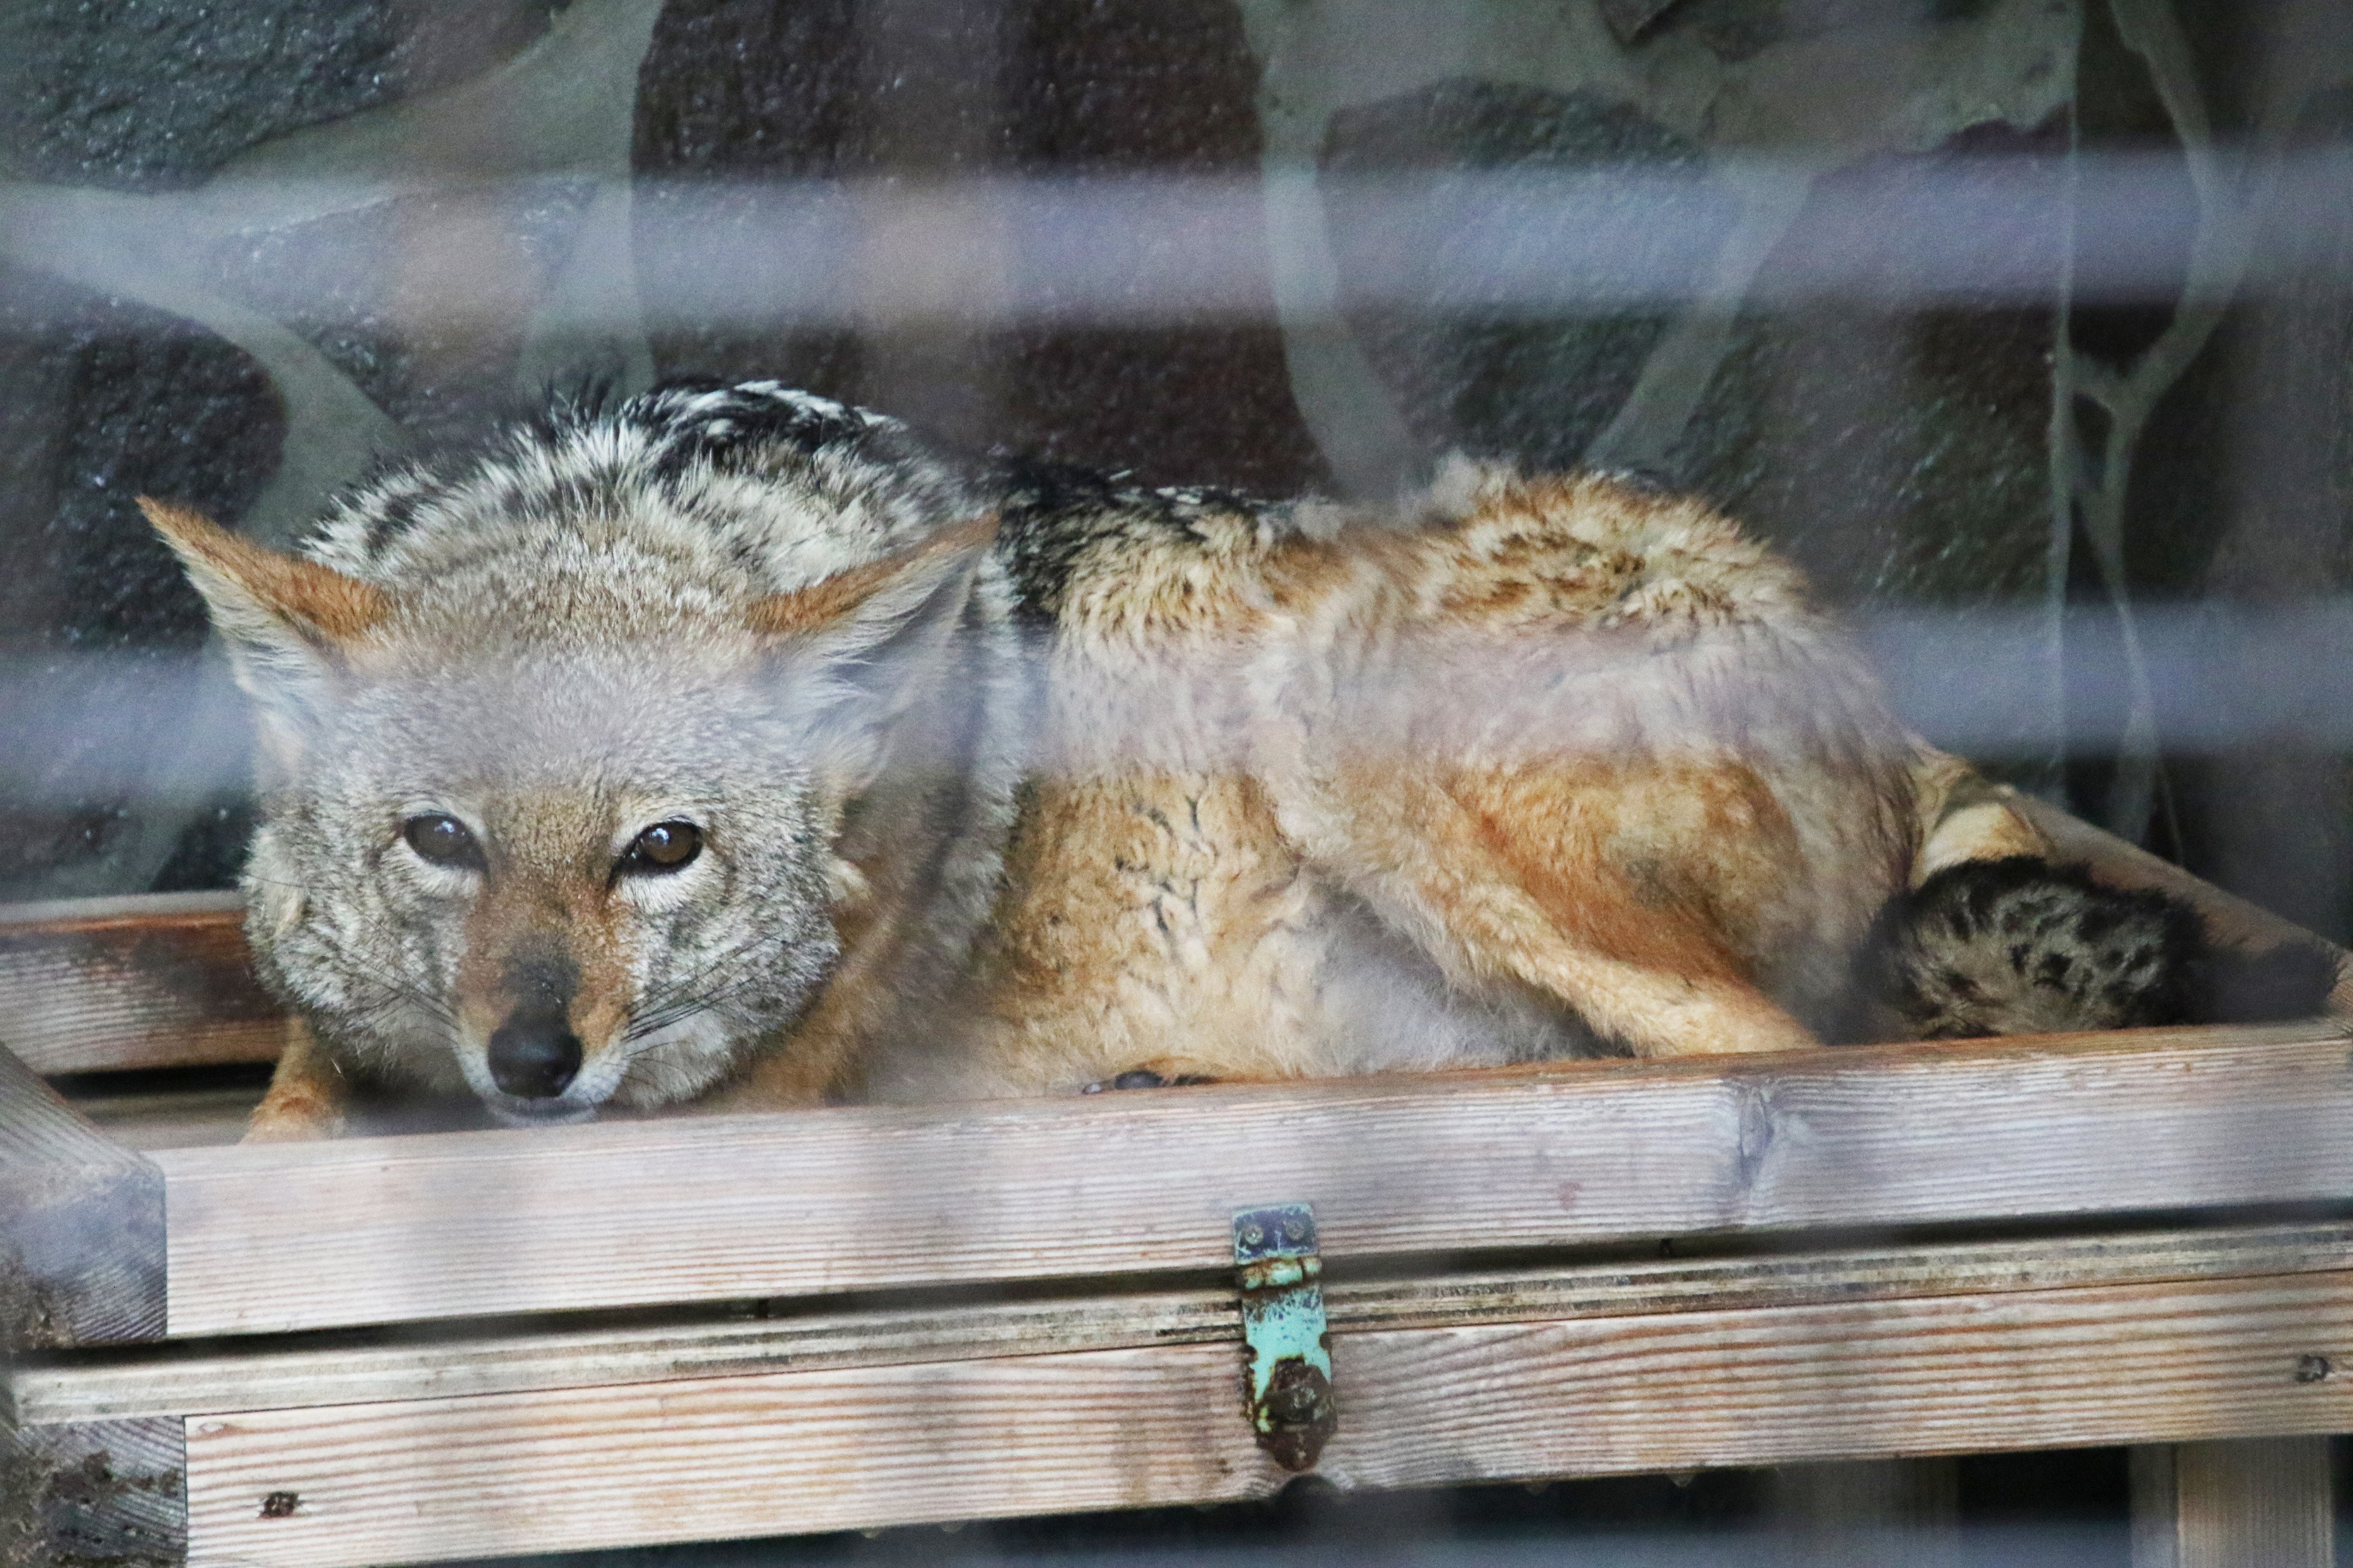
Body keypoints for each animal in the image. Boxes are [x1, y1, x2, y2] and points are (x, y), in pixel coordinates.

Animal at [142, 381, 2315, 1142]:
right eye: (439, 839)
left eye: (659, 852)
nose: (533, 1058)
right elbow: (283, 1125)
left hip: (1348, 707)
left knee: (1772, 1057)